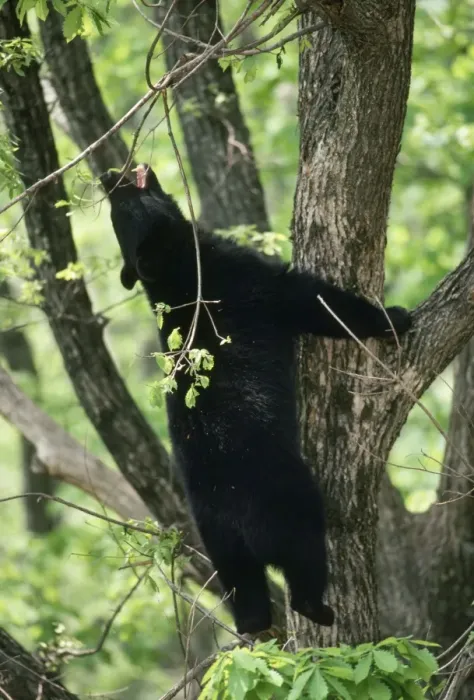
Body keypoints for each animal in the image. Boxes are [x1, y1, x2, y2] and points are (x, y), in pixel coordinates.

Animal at [100, 164, 412, 635]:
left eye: (117, 205)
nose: (107, 176)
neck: (178, 270)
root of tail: (238, 519)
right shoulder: (249, 283)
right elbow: (316, 301)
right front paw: (394, 316)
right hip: (285, 501)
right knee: (305, 551)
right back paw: (318, 607)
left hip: (217, 540)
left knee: (244, 589)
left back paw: (253, 622)